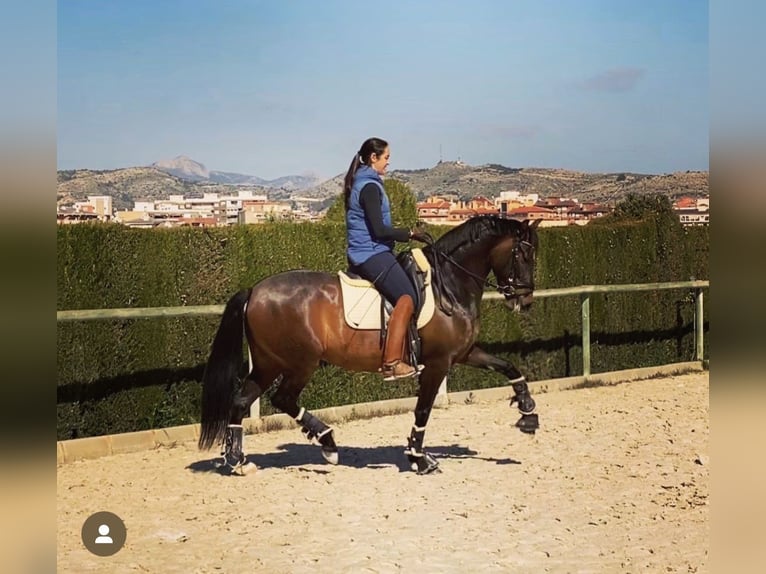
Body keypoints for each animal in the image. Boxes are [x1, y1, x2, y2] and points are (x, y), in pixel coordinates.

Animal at [200, 216, 544, 476]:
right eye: (524, 255)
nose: (525, 300)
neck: (448, 284)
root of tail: (255, 291)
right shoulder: (437, 363)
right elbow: (423, 409)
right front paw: (419, 459)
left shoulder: (462, 353)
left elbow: (508, 366)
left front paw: (528, 413)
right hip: (298, 363)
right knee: (282, 398)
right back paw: (327, 443)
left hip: (268, 363)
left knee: (240, 402)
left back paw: (238, 461)